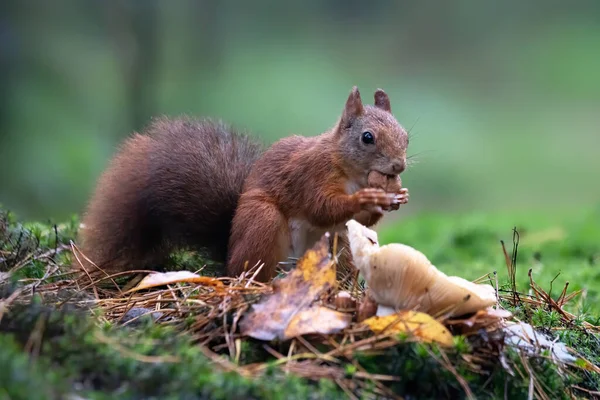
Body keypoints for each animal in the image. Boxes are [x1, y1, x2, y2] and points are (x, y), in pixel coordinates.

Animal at [78, 87, 408, 282]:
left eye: (405, 136)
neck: (352, 173)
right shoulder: (309, 174)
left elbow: (361, 221)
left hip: (339, 246)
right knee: (249, 269)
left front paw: (395, 197)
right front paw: (364, 199)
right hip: (261, 221)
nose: (399, 166)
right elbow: (321, 206)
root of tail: (228, 255)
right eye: (367, 137)